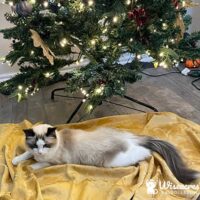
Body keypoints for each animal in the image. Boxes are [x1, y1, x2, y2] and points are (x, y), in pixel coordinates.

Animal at [12, 123, 198, 184]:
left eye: (46, 145)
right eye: (35, 145)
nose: (40, 151)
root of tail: (128, 136)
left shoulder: (53, 162)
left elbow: (37, 164)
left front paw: (30, 167)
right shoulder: (32, 152)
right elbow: (26, 155)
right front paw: (16, 160)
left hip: (115, 161)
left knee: (145, 151)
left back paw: (146, 153)